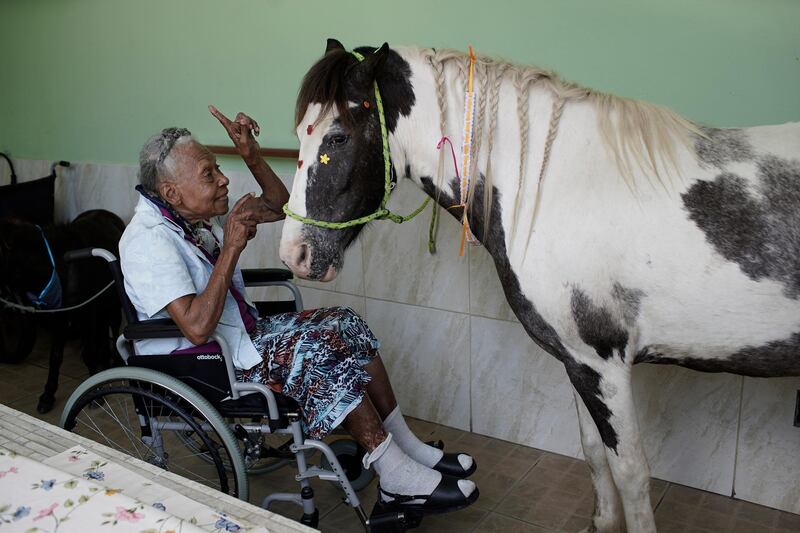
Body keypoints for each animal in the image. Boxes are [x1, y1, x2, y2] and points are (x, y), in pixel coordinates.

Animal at [278, 39, 796, 528]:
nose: (293, 254)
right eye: (300, 134)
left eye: (337, 136)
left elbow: (630, 473)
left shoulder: (604, 366)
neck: (567, 188)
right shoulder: (579, 364)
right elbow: (593, 452)